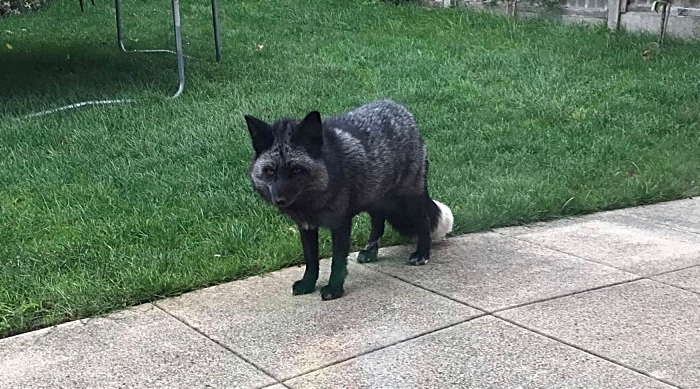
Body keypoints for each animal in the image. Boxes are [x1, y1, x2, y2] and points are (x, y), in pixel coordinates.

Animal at [245, 100, 454, 300]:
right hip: (374, 197)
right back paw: (370, 252)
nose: (279, 200)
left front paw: (334, 289)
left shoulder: (340, 223)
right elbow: (311, 260)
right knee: (378, 222)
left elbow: (337, 261)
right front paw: (308, 284)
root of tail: (401, 110)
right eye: (270, 171)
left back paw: (422, 254)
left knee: (423, 222)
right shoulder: (306, 226)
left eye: (296, 170)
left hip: (410, 198)